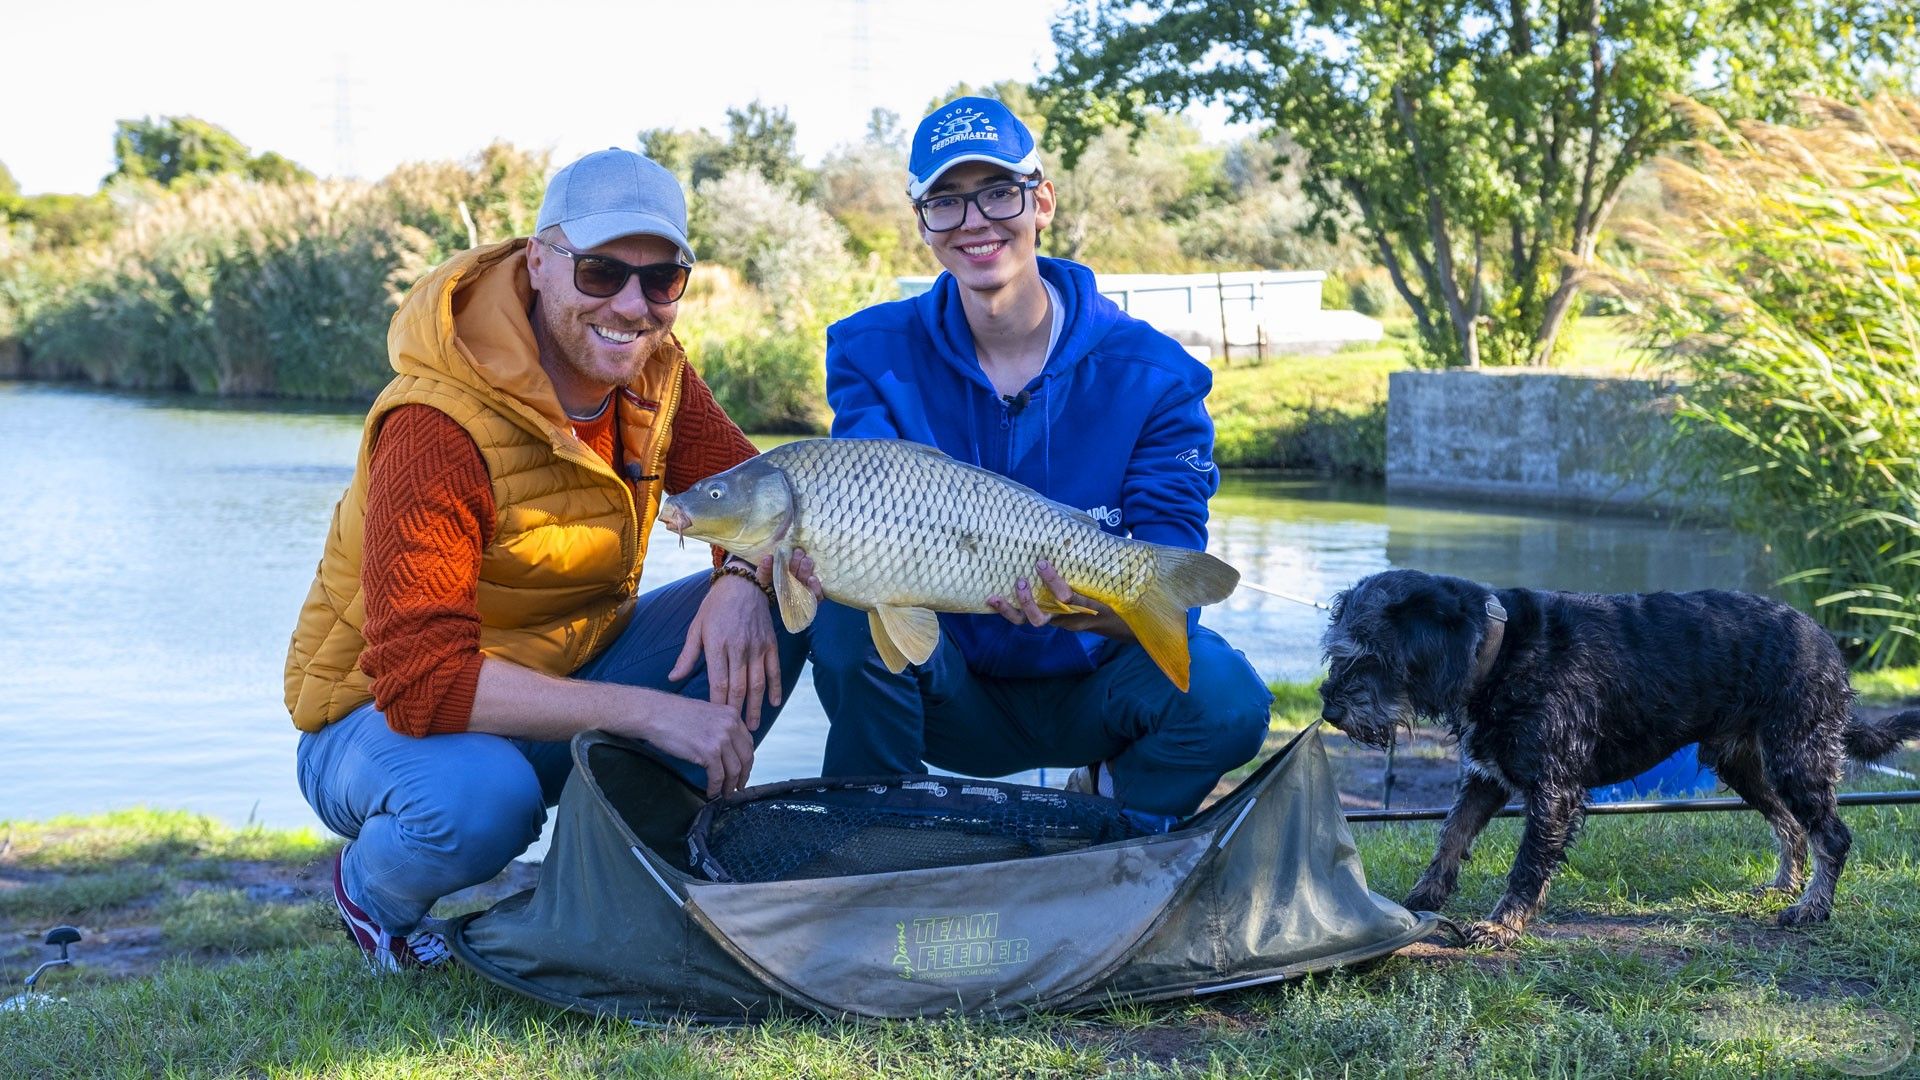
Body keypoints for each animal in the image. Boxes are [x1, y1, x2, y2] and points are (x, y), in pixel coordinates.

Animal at [1320, 568, 1920, 945]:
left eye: (1369, 656)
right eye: (1337, 653)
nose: (1329, 706)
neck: (1499, 651)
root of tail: (1829, 646)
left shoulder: (1554, 792)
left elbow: (1526, 865)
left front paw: (1502, 926)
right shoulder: (1486, 778)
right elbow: (1450, 836)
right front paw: (1425, 896)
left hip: (1797, 758)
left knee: (1832, 836)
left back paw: (1812, 908)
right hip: (1745, 765)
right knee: (1791, 825)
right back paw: (1783, 885)